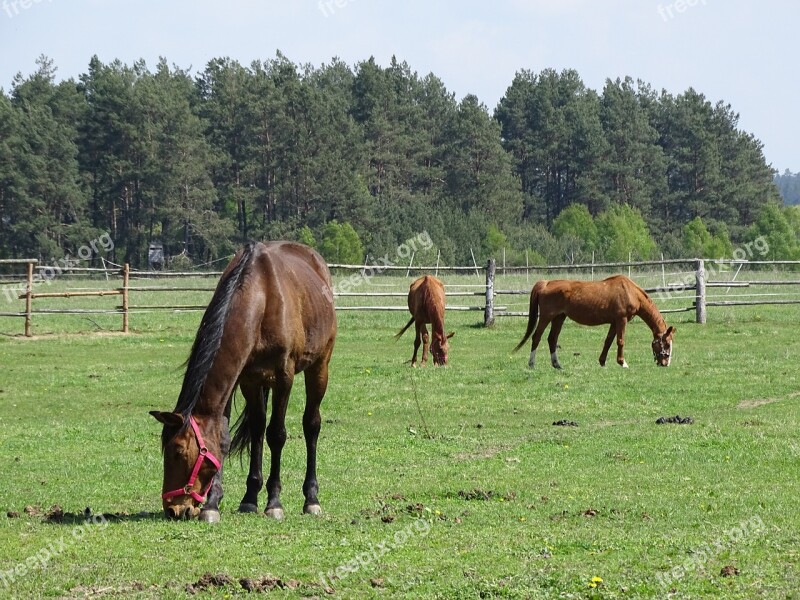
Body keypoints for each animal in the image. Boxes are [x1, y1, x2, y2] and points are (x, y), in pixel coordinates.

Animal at [149, 241, 334, 524]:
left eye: (178, 451)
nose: (174, 510)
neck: (262, 298)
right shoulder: (246, 378)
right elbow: (227, 436)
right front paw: (218, 503)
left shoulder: (284, 377)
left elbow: (276, 434)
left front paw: (274, 503)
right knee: (257, 428)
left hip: (319, 366)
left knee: (311, 425)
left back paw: (311, 499)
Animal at [512, 276, 676, 370]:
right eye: (667, 344)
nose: (665, 363)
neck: (630, 292)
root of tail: (546, 283)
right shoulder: (621, 320)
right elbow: (620, 341)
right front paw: (622, 363)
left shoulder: (614, 322)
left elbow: (608, 341)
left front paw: (602, 362)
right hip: (546, 317)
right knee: (536, 337)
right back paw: (532, 364)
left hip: (559, 318)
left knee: (552, 339)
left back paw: (557, 365)